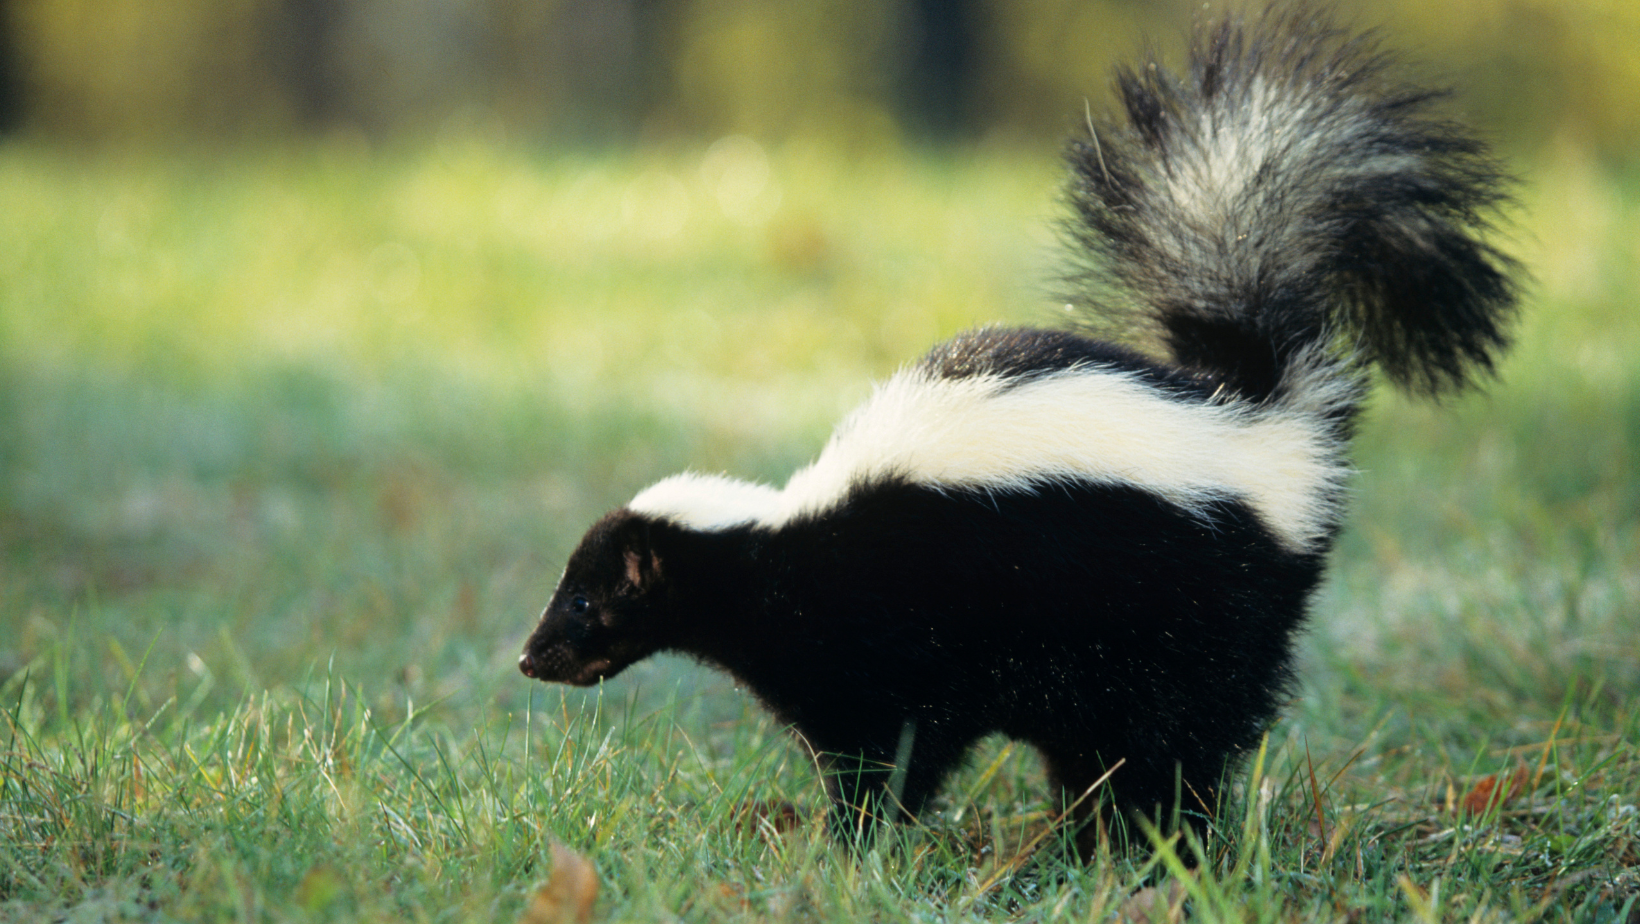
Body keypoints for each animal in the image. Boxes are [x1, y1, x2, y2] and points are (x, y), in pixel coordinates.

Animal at [518, 3, 1515, 853]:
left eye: (587, 600)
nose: (531, 658)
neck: (779, 542)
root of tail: (1258, 411)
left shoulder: (882, 646)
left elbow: (891, 751)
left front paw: (857, 841)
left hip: (1188, 618)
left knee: (1181, 739)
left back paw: (1162, 844)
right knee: (1103, 750)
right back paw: (1090, 838)